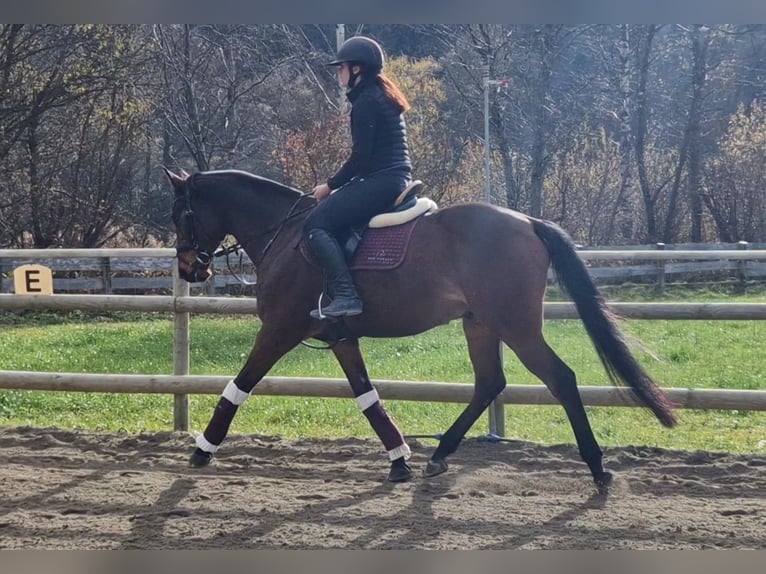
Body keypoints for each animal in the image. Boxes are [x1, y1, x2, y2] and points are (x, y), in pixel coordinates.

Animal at [164, 167, 677, 493]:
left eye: (181, 214)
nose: (190, 268)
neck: (285, 234)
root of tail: (529, 222)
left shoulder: (279, 329)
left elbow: (240, 385)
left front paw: (203, 449)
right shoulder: (341, 338)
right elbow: (368, 398)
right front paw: (399, 459)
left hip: (516, 326)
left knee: (560, 379)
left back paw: (597, 469)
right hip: (480, 324)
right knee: (490, 382)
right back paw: (439, 454)